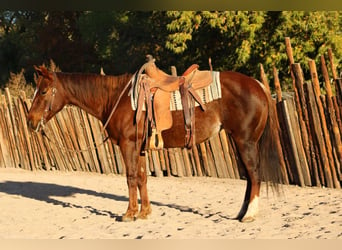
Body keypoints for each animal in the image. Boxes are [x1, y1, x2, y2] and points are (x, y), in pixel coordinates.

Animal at [26, 61, 284, 222]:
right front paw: (145, 212)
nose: (30, 121)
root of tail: (258, 86)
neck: (116, 97)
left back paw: (249, 215)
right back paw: (241, 213)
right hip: (238, 141)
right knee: (249, 177)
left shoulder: (128, 145)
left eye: (43, 91)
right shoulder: (139, 148)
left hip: (245, 141)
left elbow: (131, 178)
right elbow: (142, 178)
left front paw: (129, 214)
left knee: (255, 175)